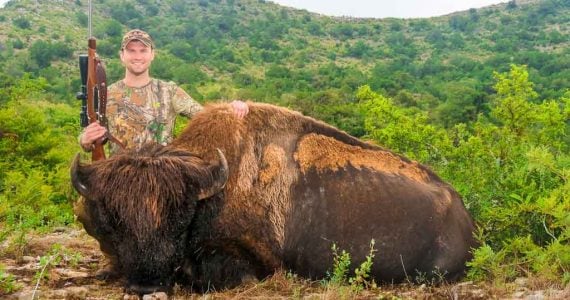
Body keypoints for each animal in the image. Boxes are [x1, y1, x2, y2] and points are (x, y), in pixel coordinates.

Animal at [70, 103, 474, 296]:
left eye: (181, 215)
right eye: (113, 219)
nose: (146, 286)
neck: (213, 187)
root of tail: (465, 216)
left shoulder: (251, 261)